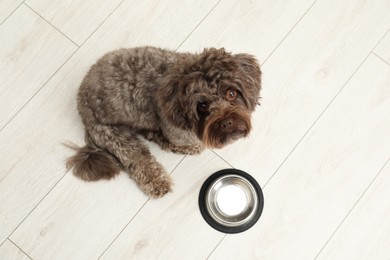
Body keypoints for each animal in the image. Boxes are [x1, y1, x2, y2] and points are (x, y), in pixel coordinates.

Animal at [67, 46, 262, 197]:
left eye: (231, 93)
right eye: (203, 106)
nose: (227, 122)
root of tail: (82, 106)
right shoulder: (174, 129)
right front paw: (192, 146)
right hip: (113, 136)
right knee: (139, 159)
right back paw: (159, 182)